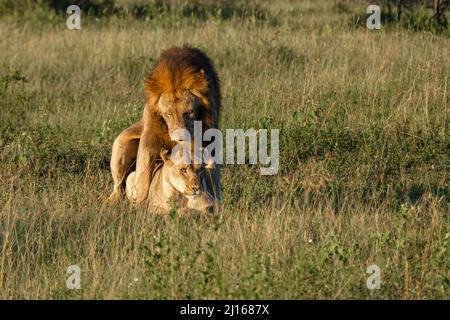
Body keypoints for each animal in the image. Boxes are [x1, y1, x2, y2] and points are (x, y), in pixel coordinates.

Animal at [109, 46, 221, 204]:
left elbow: (211, 173)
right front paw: (141, 203)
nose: (180, 137)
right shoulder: (150, 139)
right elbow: (143, 175)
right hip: (120, 146)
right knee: (119, 185)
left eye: (188, 113)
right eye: (168, 114)